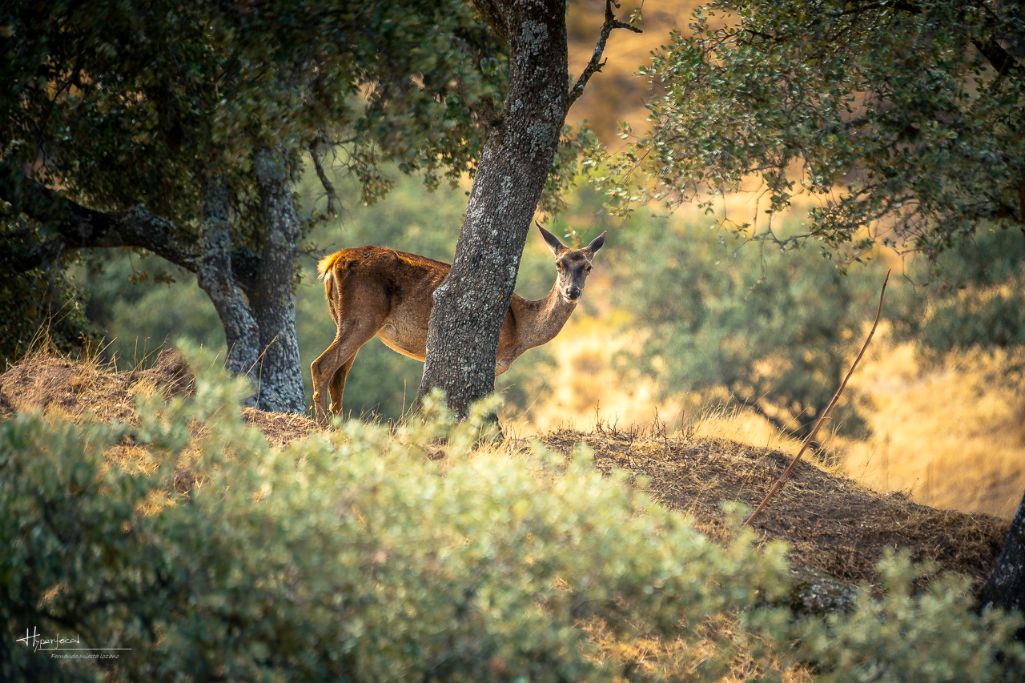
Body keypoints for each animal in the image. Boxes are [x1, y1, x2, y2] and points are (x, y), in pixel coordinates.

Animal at [310, 223, 607, 424]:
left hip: (343, 318)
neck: (520, 330)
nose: (572, 291)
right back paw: (324, 425)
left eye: (588, 267)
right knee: (322, 365)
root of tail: (331, 262)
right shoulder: (491, 358)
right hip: (362, 315)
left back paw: (339, 424)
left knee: (339, 375)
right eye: (559, 264)